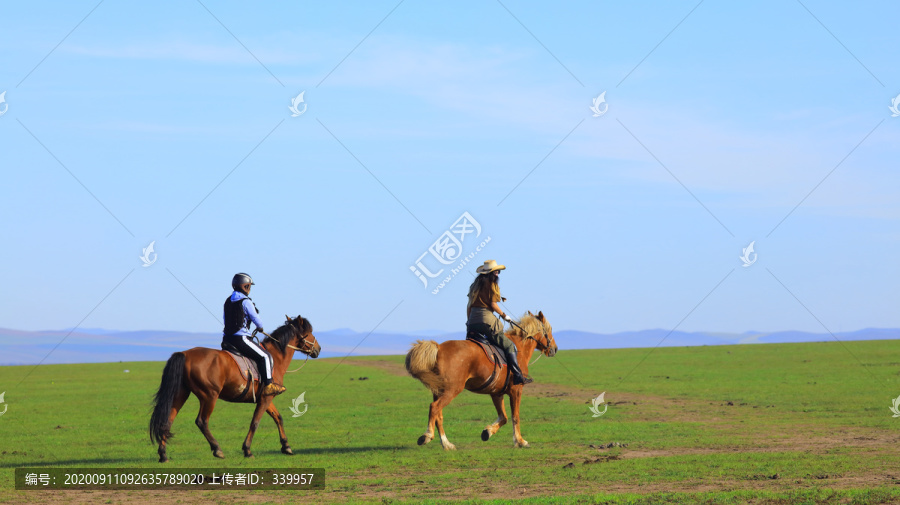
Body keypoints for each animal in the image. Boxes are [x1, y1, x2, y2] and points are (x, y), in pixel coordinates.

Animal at [151, 316, 324, 460]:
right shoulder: (266, 398)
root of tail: (185, 354)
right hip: (209, 396)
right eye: (309, 333)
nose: (318, 349)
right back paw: (217, 449)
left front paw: (286, 447)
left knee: (167, 421)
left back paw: (163, 454)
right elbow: (255, 422)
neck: (275, 358)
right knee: (202, 421)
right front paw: (247, 450)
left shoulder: (266, 397)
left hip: (181, 394)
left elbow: (278, 418)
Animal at [402, 312, 556, 448]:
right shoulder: (516, 390)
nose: (554, 348)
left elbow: (504, 417)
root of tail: (439, 348)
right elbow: (515, 417)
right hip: (451, 390)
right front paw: (520, 441)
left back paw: (446, 444)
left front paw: (487, 432)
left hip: (439, 390)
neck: (519, 348)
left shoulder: (496, 393)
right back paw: (427, 436)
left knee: (438, 415)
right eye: (549, 330)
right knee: (434, 408)